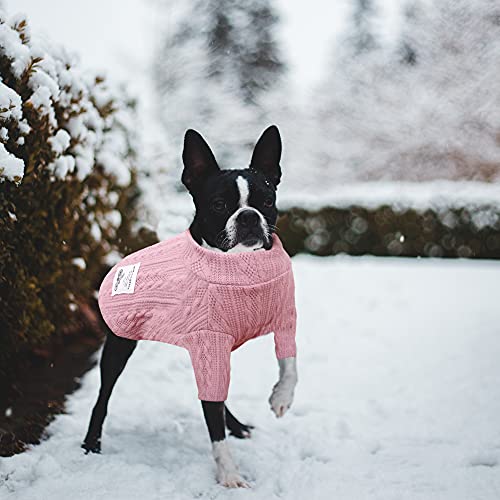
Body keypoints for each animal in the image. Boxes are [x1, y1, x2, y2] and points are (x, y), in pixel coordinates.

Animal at [82, 125, 296, 488]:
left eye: (268, 202)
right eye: (219, 204)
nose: (249, 217)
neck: (237, 268)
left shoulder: (282, 318)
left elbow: (289, 364)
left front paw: (281, 398)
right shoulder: (209, 345)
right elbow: (213, 423)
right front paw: (229, 475)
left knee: (217, 395)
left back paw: (237, 425)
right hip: (119, 346)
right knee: (103, 396)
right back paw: (90, 444)